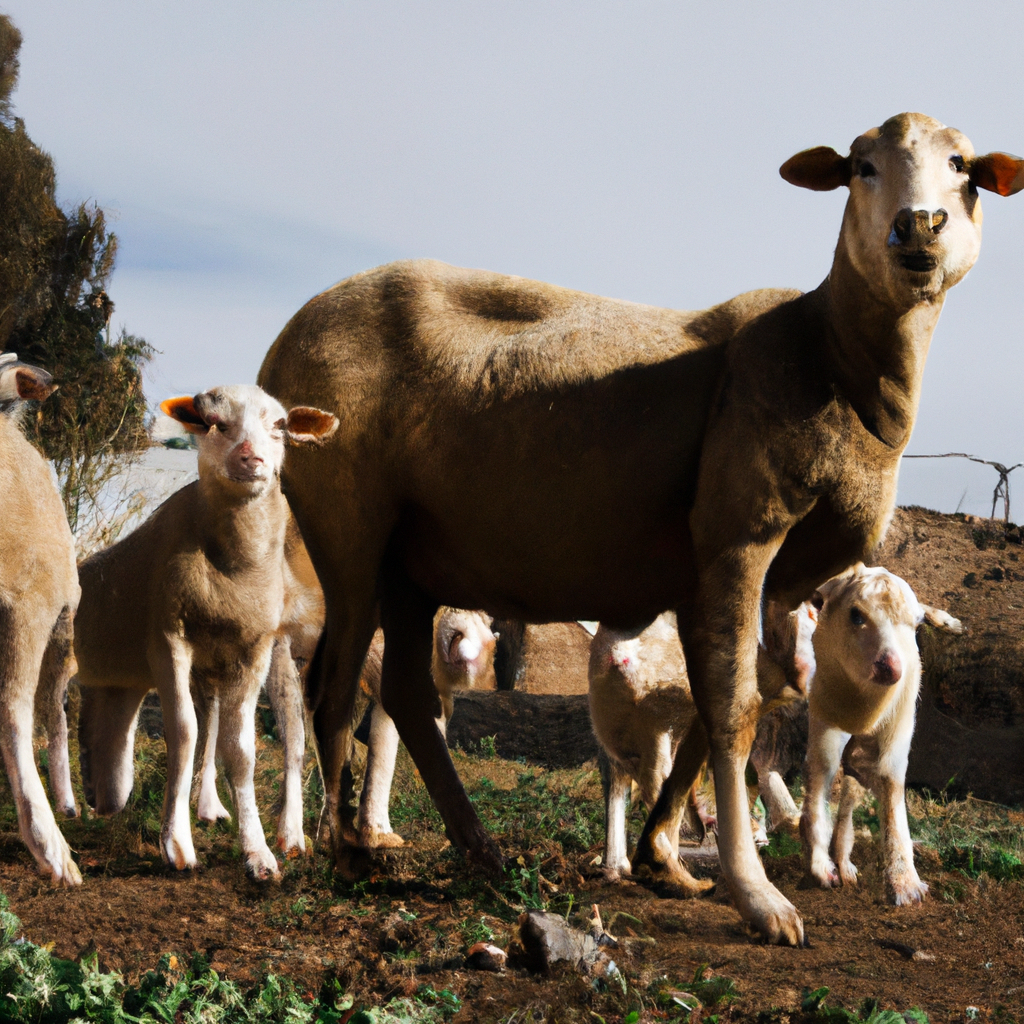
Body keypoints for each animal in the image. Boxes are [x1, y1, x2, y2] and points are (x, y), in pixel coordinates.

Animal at [802, 565, 962, 909]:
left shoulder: (898, 722)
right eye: (856, 615)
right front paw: (821, 866)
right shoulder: (824, 715)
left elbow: (891, 784)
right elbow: (820, 776)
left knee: (852, 792)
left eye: (915, 626)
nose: (890, 668)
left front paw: (905, 883)